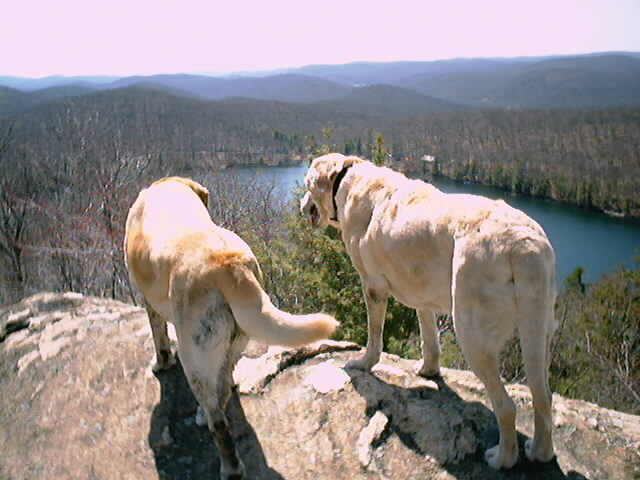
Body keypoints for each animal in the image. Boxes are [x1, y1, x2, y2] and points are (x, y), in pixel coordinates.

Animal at [122, 177, 338, 480]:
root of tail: (228, 263)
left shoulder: (149, 302)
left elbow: (159, 337)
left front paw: (161, 364)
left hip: (195, 355)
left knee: (218, 422)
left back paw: (230, 466)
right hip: (234, 342)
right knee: (222, 388)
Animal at [300, 154, 556, 468]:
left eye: (307, 184)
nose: (301, 206)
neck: (349, 180)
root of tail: (523, 245)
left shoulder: (372, 287)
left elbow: (375, 334)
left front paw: (363, 363)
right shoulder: (422, 295)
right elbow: (429, 335)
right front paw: (429, 371)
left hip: (472, 332)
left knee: (506, 406)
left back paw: (502, 458)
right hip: (540, 326)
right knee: (543, 397)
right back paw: (540, 451)